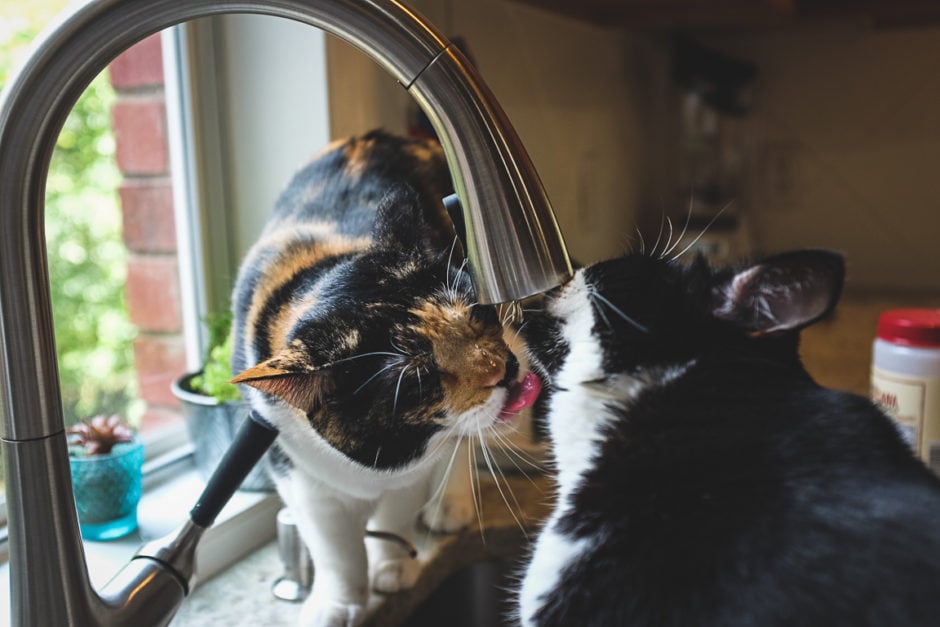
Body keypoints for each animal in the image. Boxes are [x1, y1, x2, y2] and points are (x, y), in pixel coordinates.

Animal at [226, 130, 544, 624]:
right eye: (418, 380)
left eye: (476, 312)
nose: (505, 369)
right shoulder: (294, 470)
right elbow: (334, 548)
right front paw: (337, 605)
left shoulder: (411, 474)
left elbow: (395, 515)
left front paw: (392, 569)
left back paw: (449, 507)